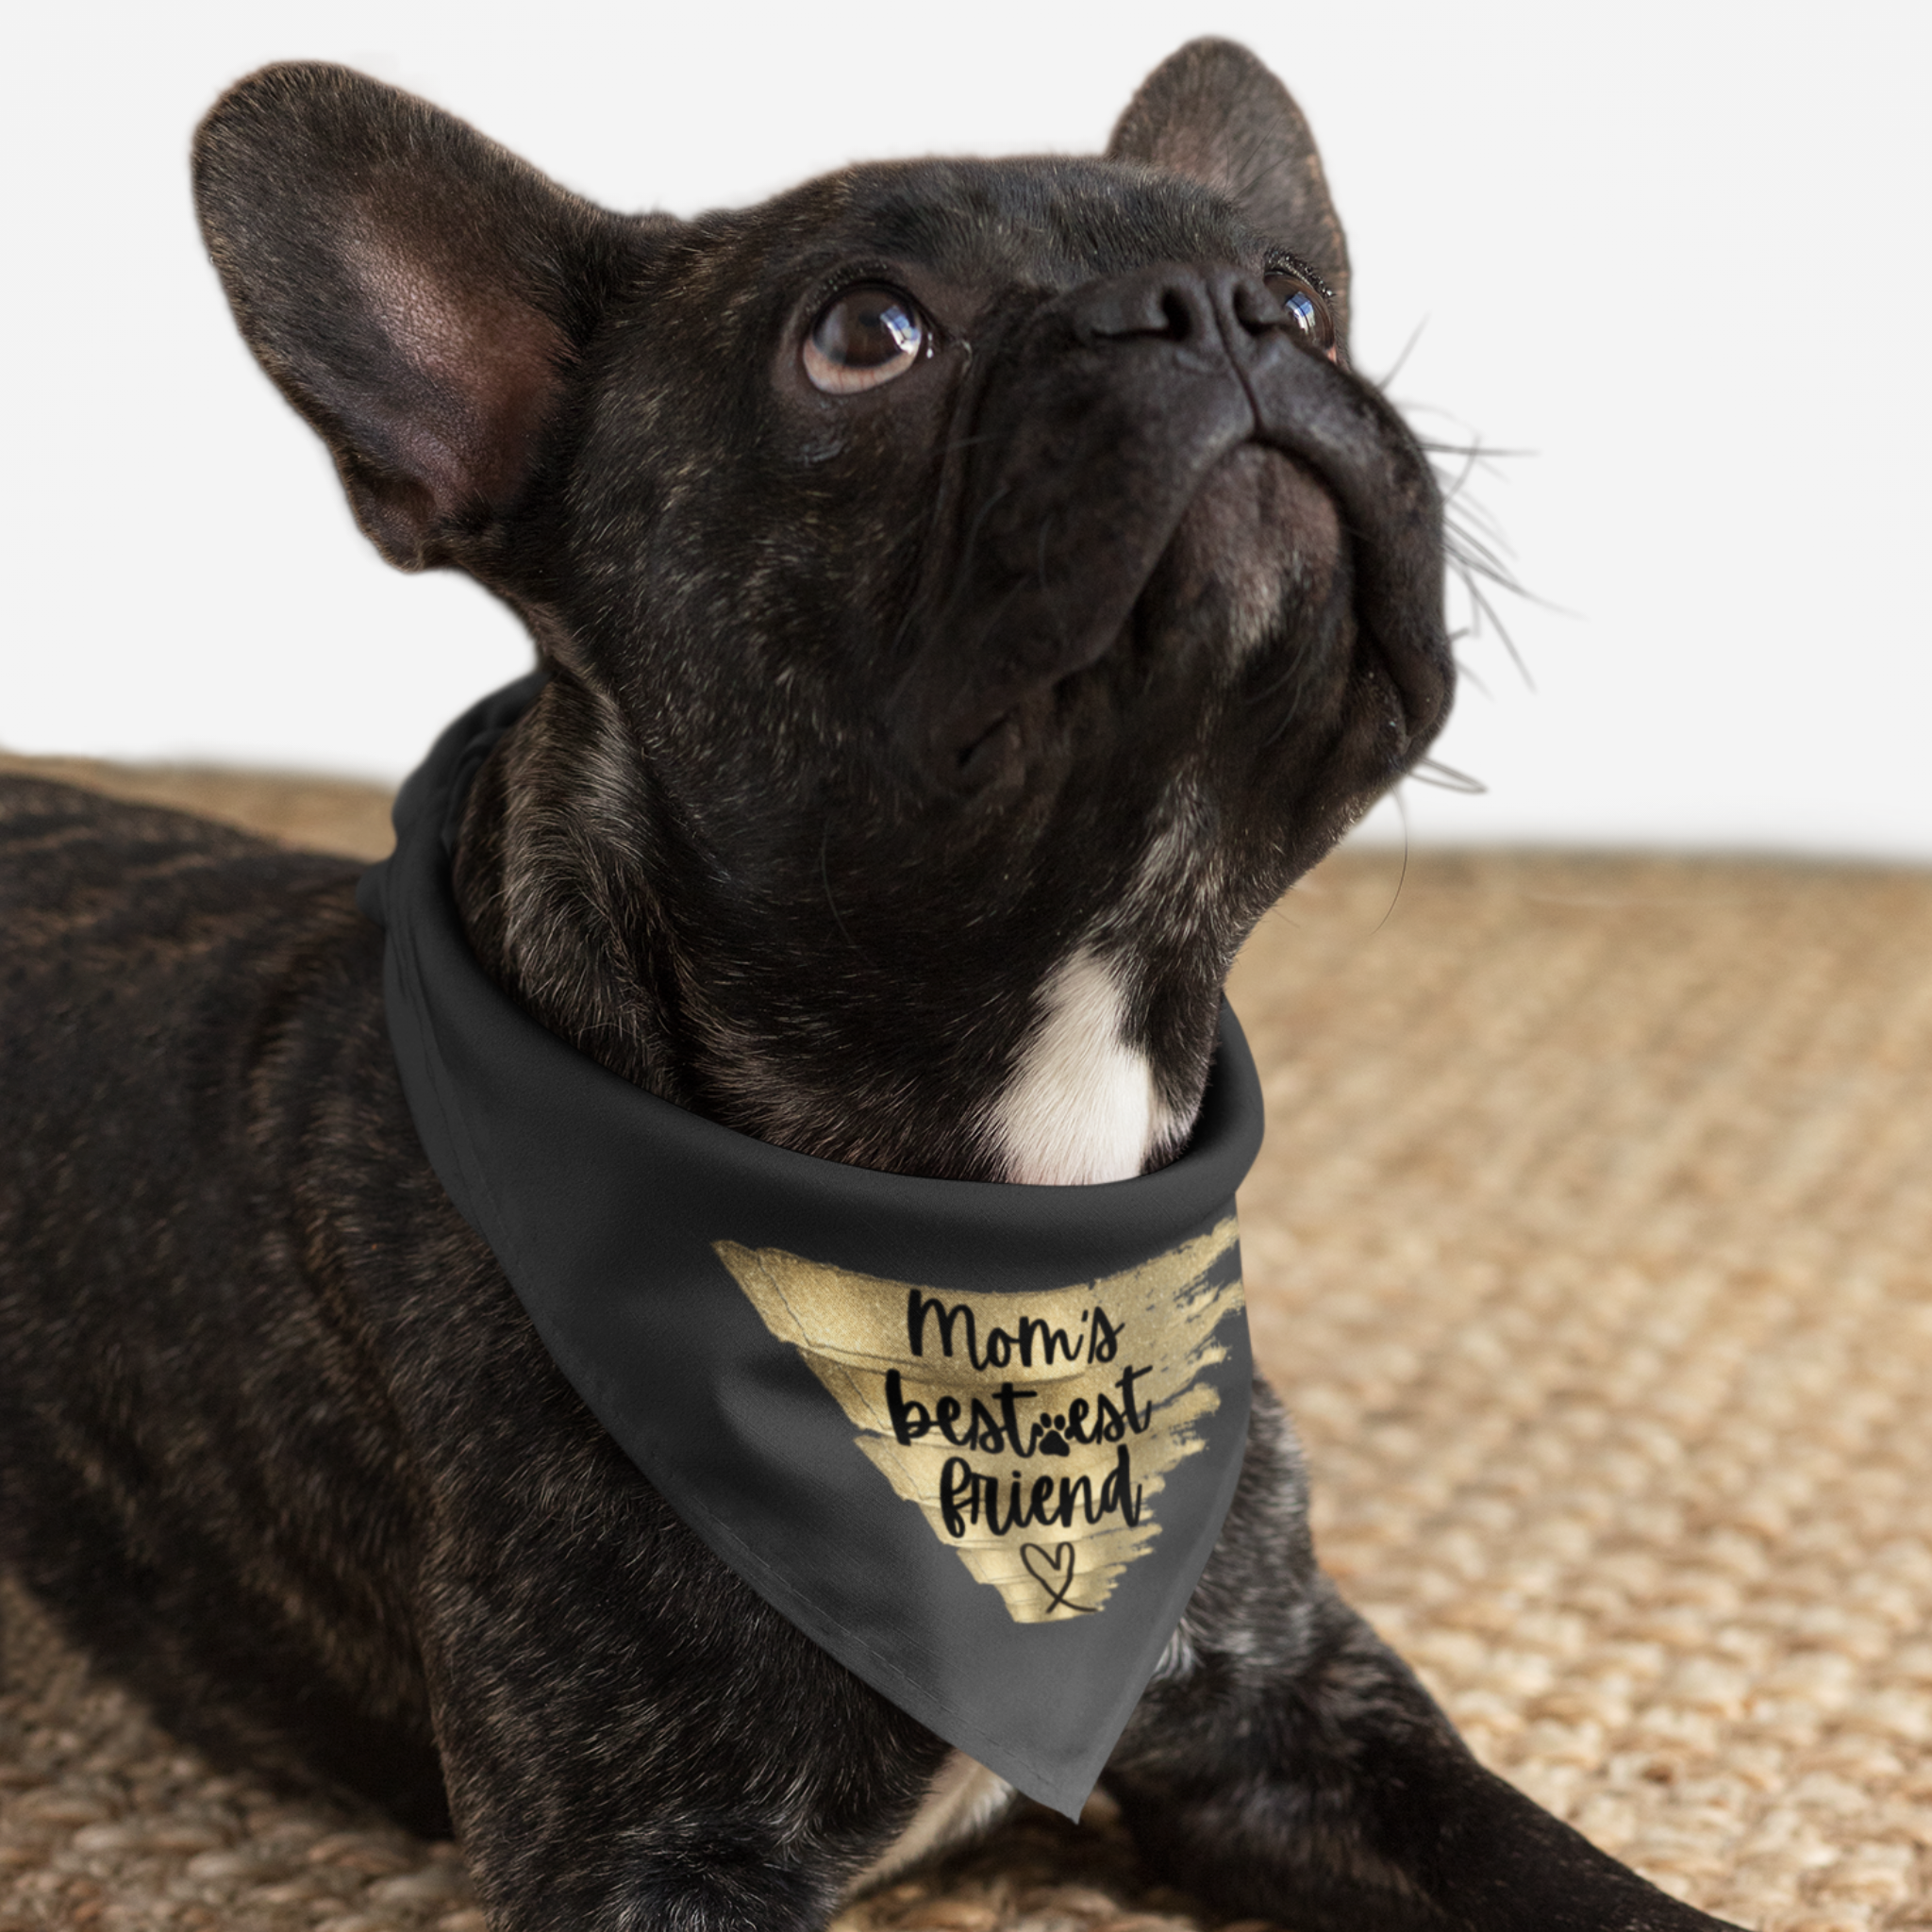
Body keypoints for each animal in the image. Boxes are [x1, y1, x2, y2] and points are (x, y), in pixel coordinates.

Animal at [0, 34, 1746, 1932]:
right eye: (864, 335)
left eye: (1298, 296)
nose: (1218, 309)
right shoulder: (652, 1862)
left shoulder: (1299, 1718)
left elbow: (1579, 1879)